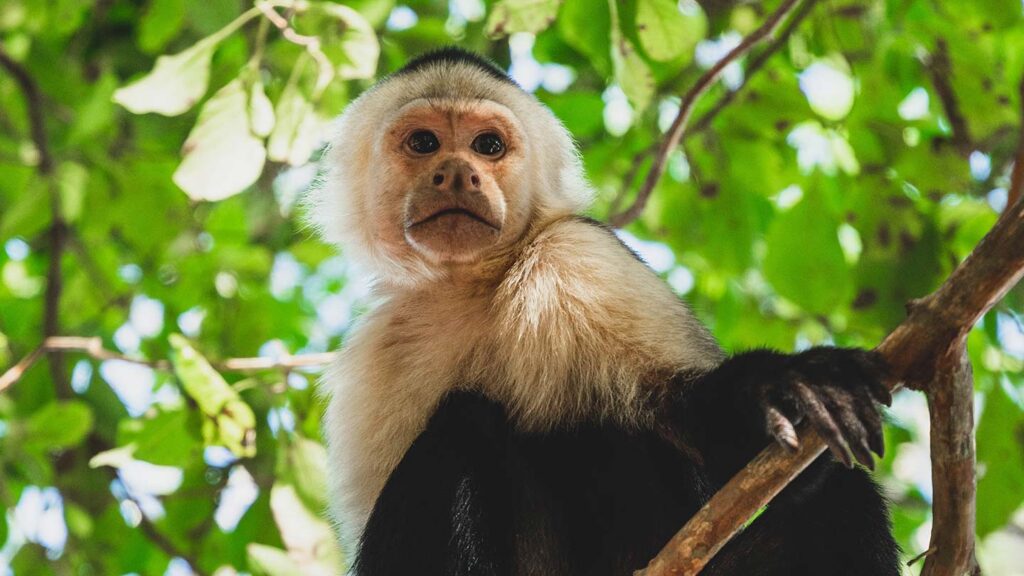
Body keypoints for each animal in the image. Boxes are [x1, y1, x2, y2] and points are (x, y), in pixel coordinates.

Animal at [309, 48, 900, 575]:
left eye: (487, 145)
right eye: (424, 143)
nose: (457, 173)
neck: (469, 284)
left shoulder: (578, 254)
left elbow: (706, 433)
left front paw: (774, 392)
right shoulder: (378, 351)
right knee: (465, 421)